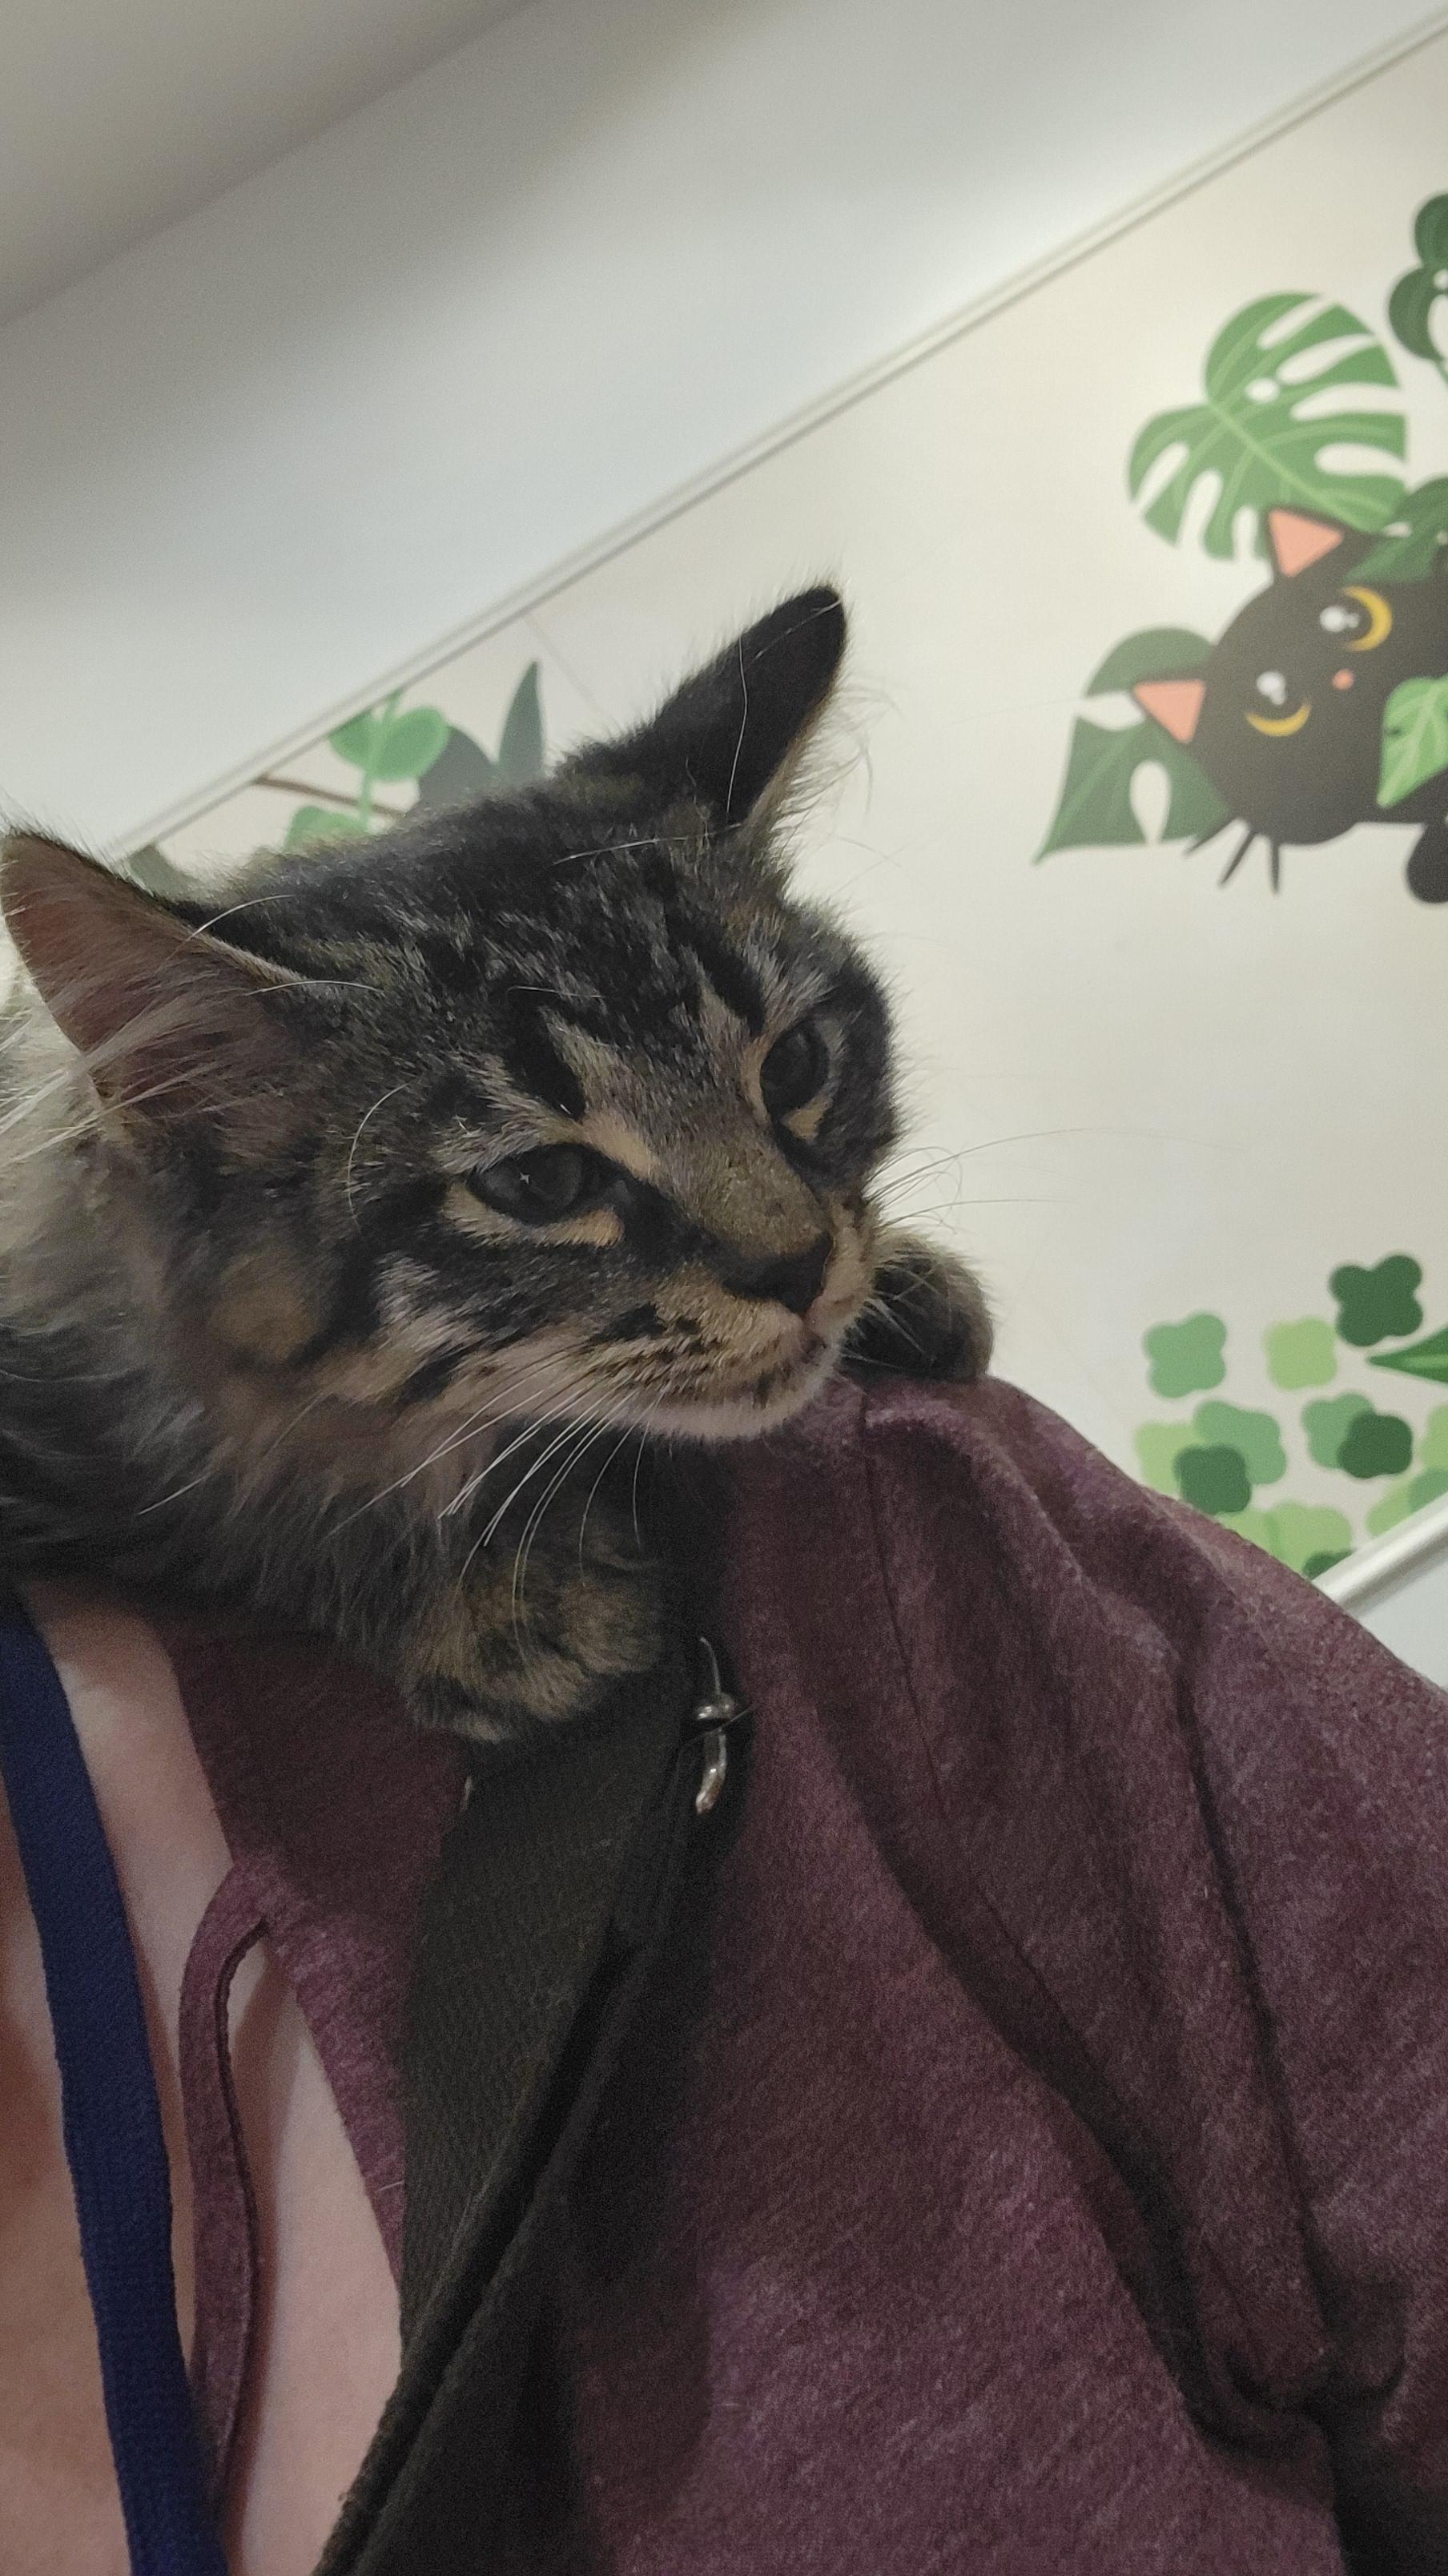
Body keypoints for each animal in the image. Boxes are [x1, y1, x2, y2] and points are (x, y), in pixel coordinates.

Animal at [0, 589, 990, 1740]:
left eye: (792, 1066)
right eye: (542, 1186)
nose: (799, 1272)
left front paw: (903, 1277)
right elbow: (224, 1501)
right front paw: (470, 1594)